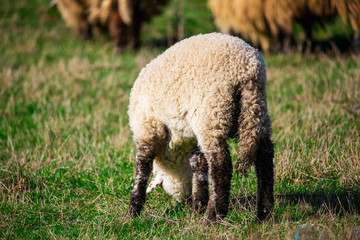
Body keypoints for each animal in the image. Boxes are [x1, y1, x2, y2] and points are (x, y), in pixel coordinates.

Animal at [126, 32, 272, 222]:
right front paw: (198, 205)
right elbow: (199, 167)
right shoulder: (192, 137)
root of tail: (247, 69)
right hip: (256, 108)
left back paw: (214, 217)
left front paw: (132, 211)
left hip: (212, 112)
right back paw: (264, 214)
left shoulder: (148, 129)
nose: (186, 202)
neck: (176, 148)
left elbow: (142, 169)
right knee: (265, 155)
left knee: (221, 164)